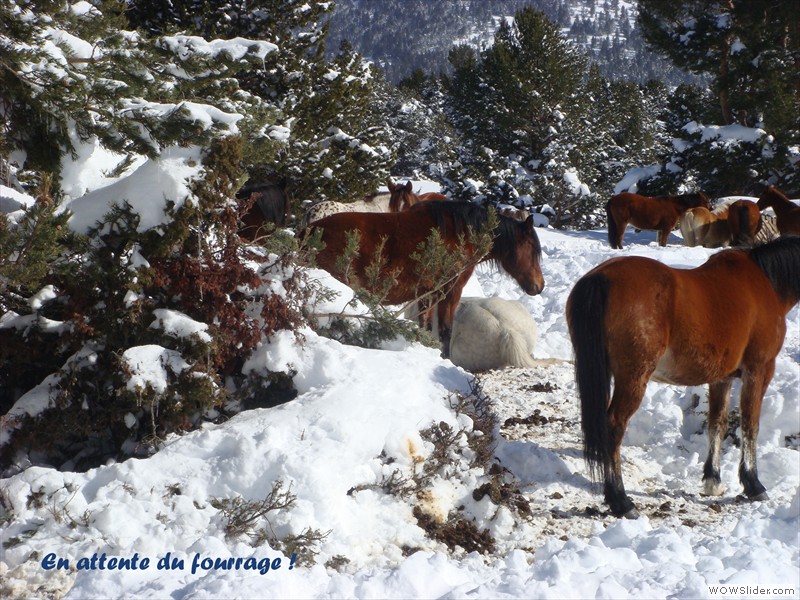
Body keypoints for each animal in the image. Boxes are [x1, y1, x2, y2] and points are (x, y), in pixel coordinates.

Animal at [306, 200, 544, 356]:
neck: (459, 236)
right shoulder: (449, 292)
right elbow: (444, 331)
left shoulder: (427, 295)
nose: (539, 285)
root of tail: (308, 232)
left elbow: (427, 328)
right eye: (532, 249)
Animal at [564, 237, 800, 516]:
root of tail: (601, 278)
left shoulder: (722, 378)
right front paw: (753, 484)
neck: (766, 281)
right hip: (633, 378)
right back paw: (620, 501)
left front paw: (713, 481)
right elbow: (750, 426)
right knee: (613, 426)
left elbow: (717, 424)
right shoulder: (759, 371)